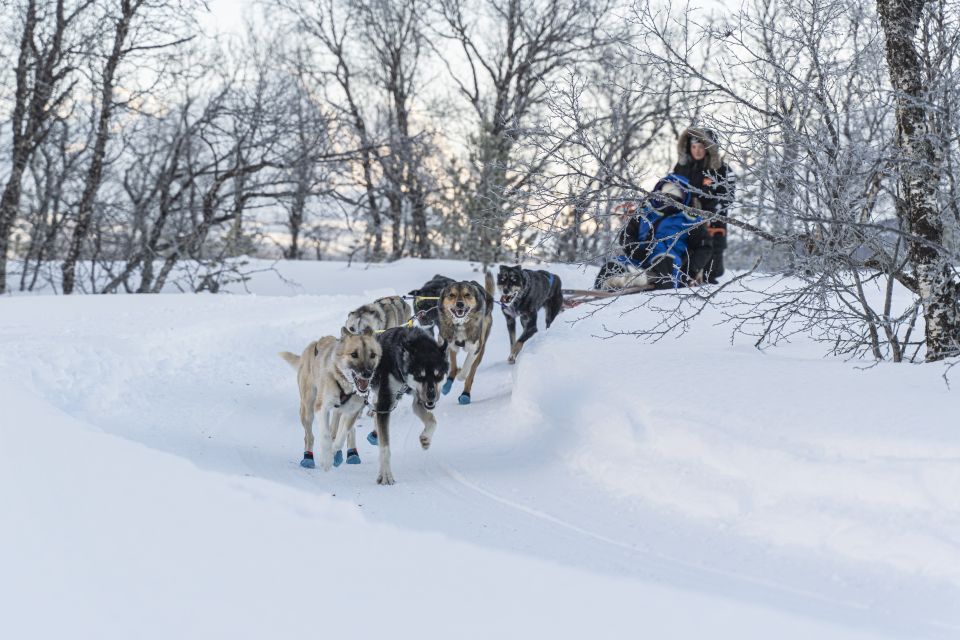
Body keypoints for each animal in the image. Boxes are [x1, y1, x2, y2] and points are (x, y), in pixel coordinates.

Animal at [280, 328, 380, 468]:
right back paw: (308, 458)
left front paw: (333, 453)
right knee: (309, 436)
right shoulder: (321, 407)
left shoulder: (352, 411)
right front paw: (326, 459)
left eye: (373, 355)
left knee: (345, 429)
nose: (367, 373)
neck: (344, 383)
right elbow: (326, 435)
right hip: (307, 409)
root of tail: (313, 344)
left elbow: (341, 436)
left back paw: (351, 453)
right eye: (354, 354)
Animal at [436, 272, 496, 404]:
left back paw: (465, 395)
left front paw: (461, 375)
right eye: (451, 295)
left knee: (470, 374)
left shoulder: (475, 349)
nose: (460, 304)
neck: (460, 323)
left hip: (481, 351)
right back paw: (448, 384)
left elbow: (466, 368)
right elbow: (451, 365)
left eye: (467, 294)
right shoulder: (447, 343)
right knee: (453, 367)